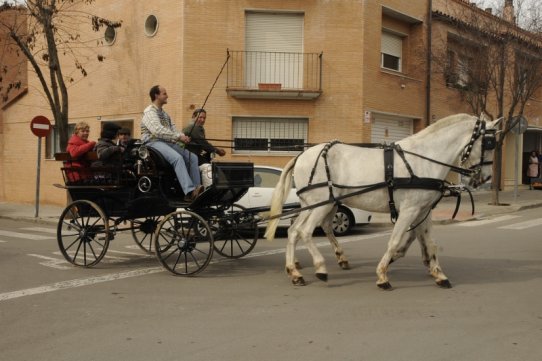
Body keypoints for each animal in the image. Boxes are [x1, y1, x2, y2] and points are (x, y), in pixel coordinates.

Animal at [266, 114, 500, 288]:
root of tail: (301, 156)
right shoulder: (409, 210)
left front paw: (438, 274)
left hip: (311, 205)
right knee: (305, 232)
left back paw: (294, 272)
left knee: (293, 231)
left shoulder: (423, 210)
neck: (423, 159)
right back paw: (320, 267)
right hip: (322, 204)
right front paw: (382, 275)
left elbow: (429, 242)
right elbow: (395, 240)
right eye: (489, 143)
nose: (486, 177)